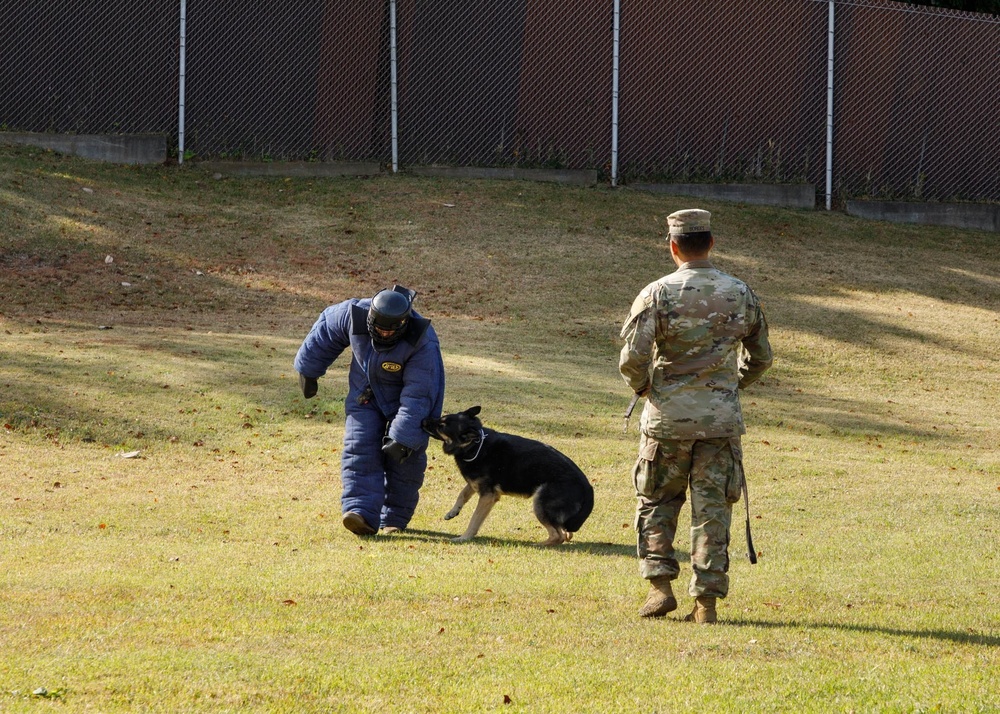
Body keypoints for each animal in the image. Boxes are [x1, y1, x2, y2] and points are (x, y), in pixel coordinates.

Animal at [422, 404, 592, 544]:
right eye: (441, 418)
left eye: (442, 425)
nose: (423, 420)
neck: (476, 446)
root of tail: (587, 487)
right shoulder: (476, 484)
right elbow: (462, 494)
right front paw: (453, 511)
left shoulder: (488, 496)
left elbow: (475, 519)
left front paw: (465, 537)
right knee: (566, 532)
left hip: (540, 503)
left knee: (559, 535)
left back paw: (538, 545)